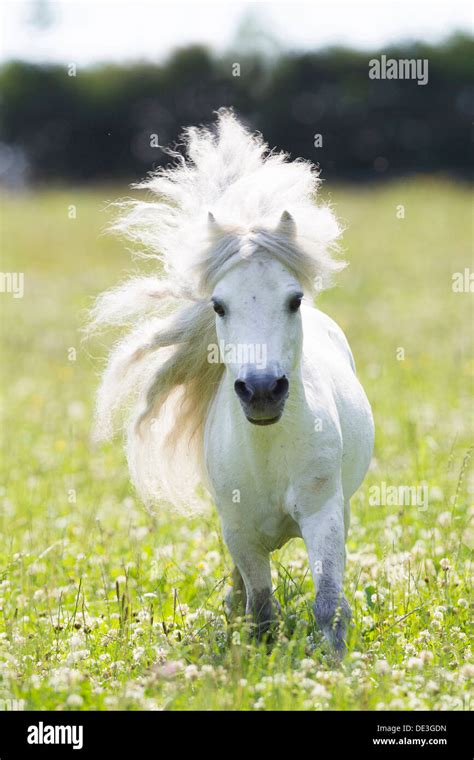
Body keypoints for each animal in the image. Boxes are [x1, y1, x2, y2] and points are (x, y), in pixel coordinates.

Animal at [90, 111, 374, 652]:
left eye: (294, 300)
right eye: (218, 305)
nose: (262, 391)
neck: (268, 452)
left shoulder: (323, 515)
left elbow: (328, 603)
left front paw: (331, 658)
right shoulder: (239, 530)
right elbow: (260, 608)